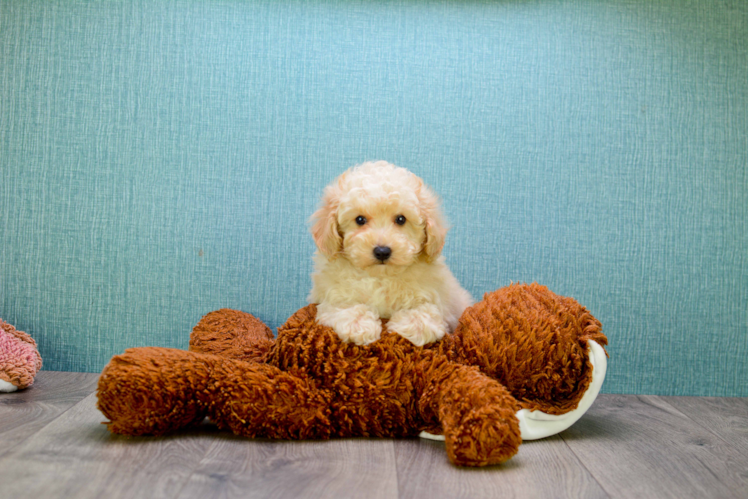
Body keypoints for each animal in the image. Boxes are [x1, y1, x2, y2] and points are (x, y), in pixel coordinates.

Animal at [308, 162, 474, 346]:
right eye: (360, 220)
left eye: (401, 219)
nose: (382, 251)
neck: (381, 278)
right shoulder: (328, 296)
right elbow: (341, 305)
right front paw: (358, 324)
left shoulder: (439, 302)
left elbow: (425, 311)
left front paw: (412, 323)